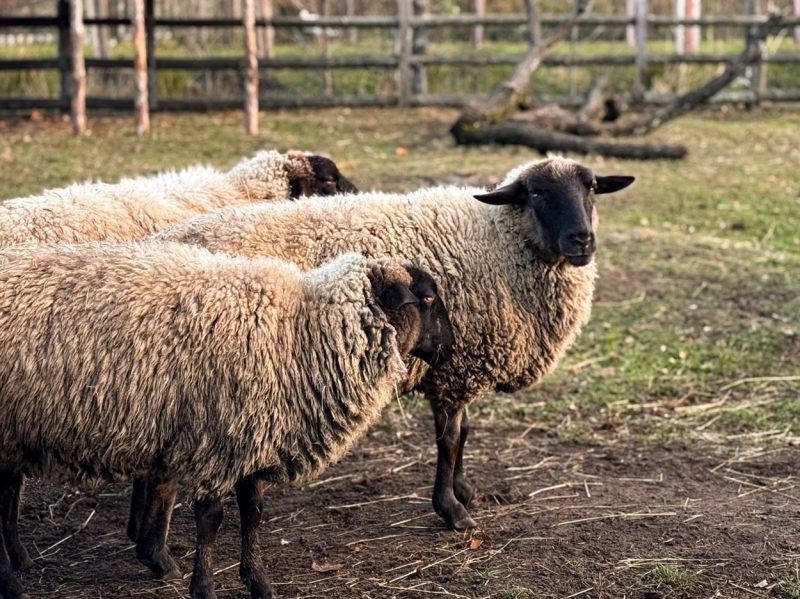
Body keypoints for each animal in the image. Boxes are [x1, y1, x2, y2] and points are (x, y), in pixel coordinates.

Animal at [0, 241, 454, 599]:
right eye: (428, 299)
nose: (451, 347)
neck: (298, 331)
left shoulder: (254, 438)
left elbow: (253, 514)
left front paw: (259, 583)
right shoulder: (217, 441)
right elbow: (211, 520)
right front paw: (204, 588)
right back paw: (13, 585)